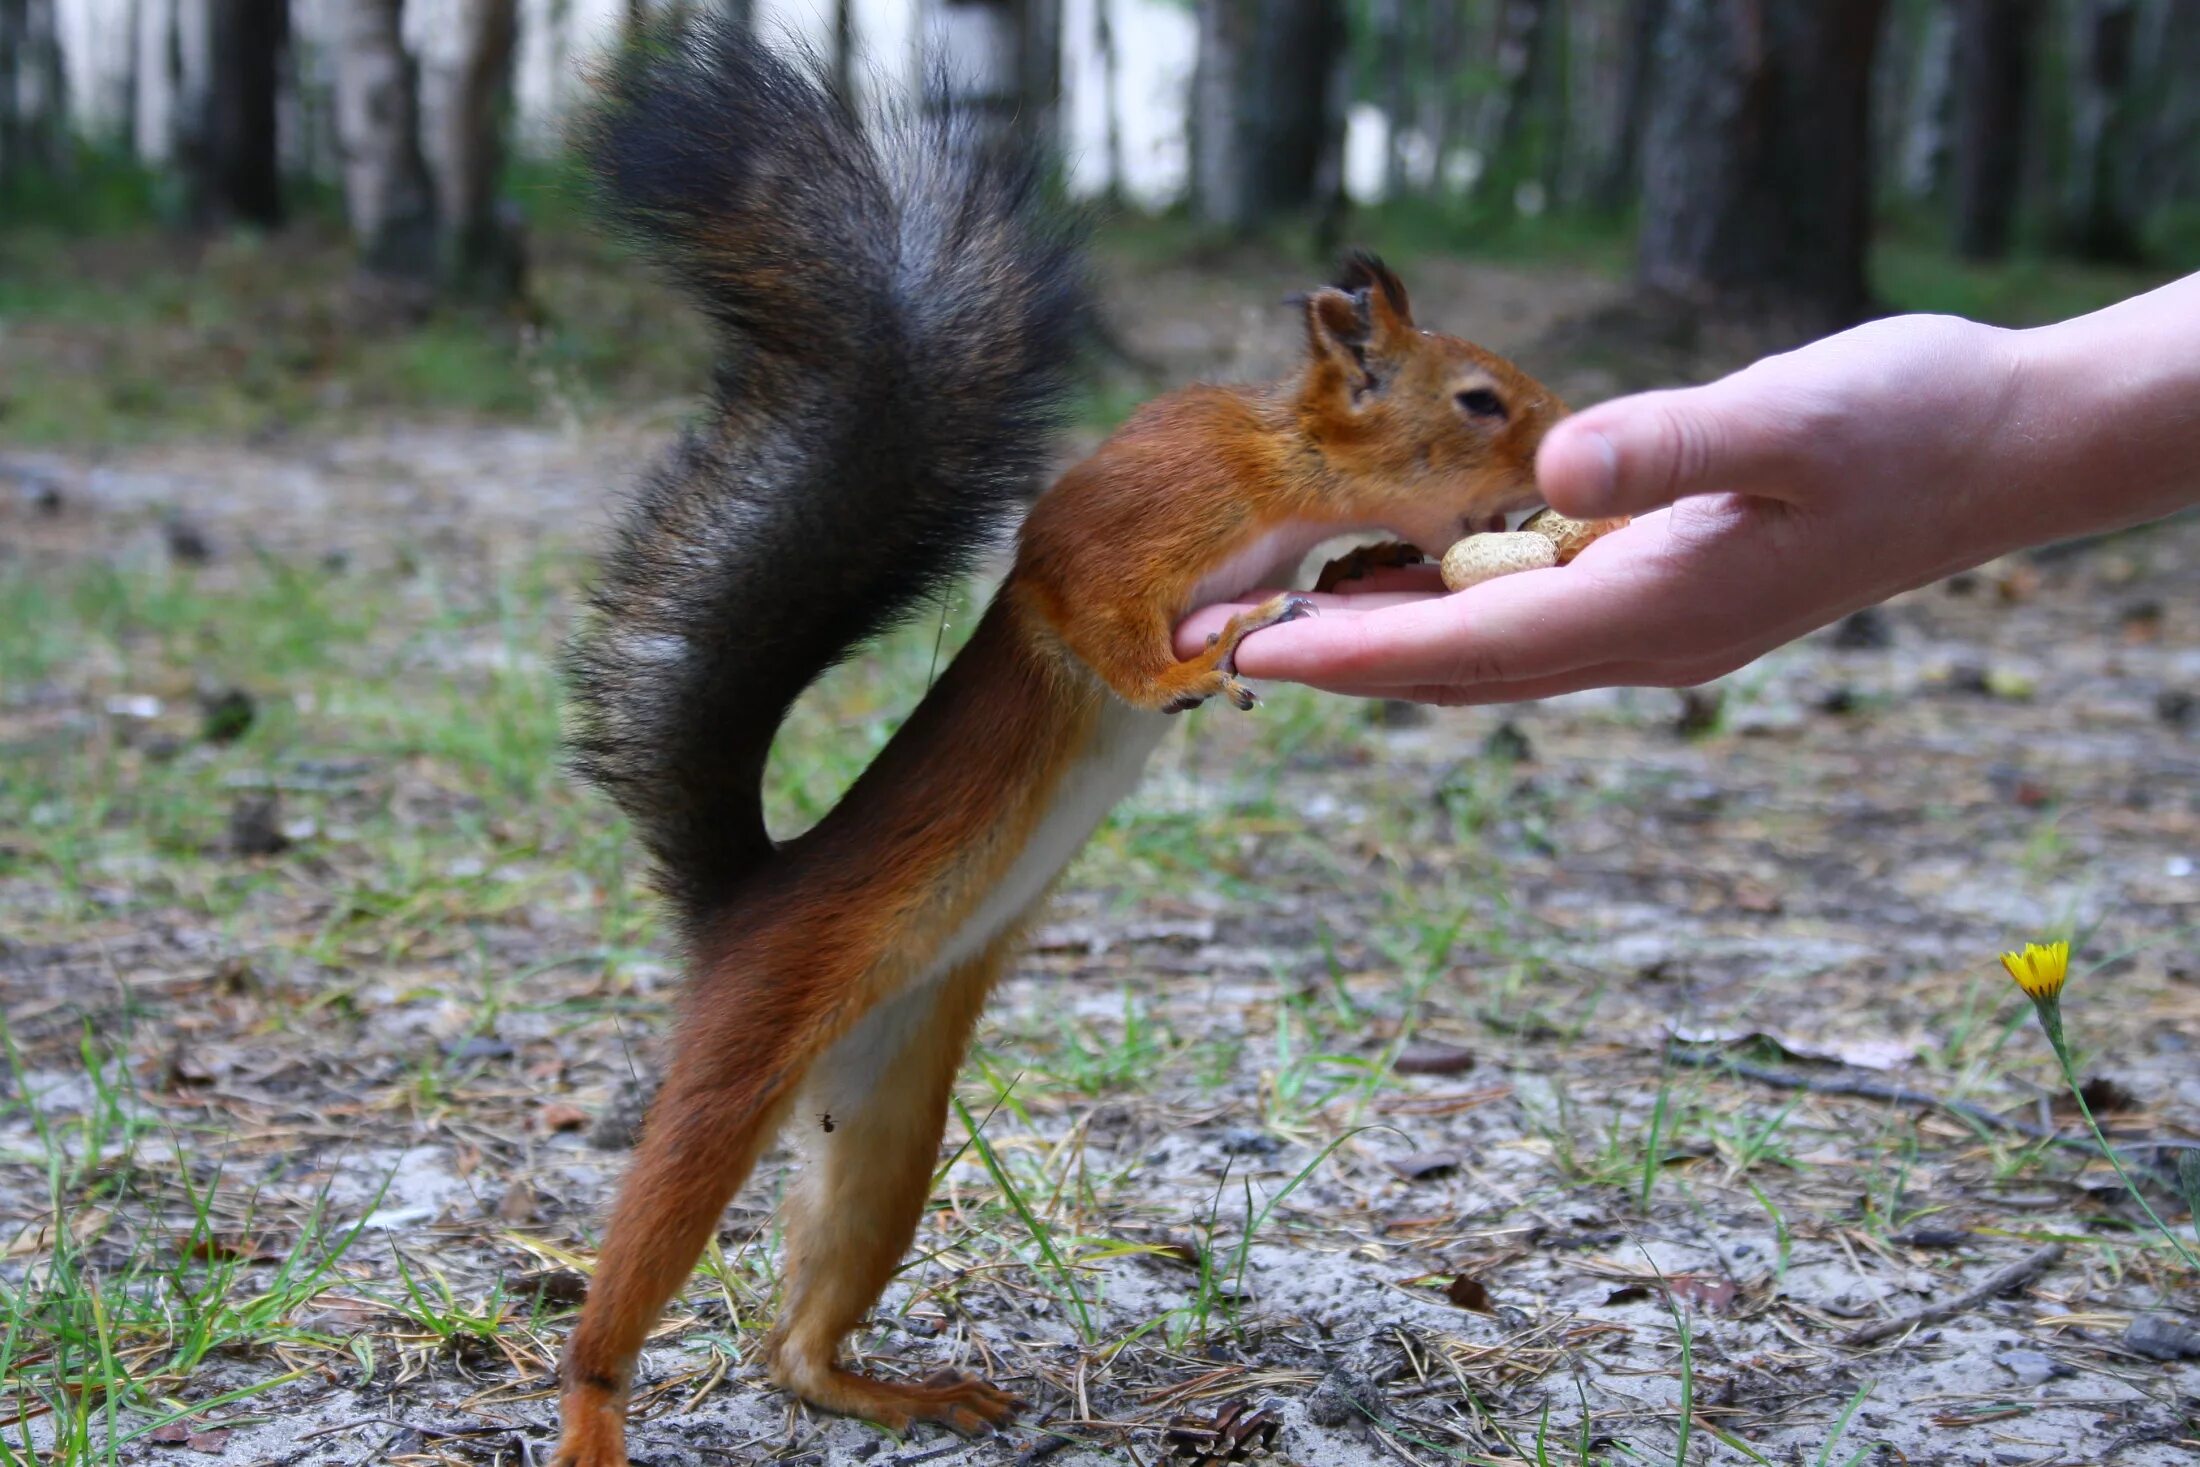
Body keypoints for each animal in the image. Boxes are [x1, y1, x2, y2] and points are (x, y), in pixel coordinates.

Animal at [558, 14, 1575, 1467]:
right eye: (1482, 399)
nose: (1570, 431)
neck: (1290, 473)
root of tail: (743, 897)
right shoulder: (1127, 520)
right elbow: (1094, 612)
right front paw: (1201, 658)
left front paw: (1369, 561)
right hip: (736, 1061)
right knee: (643, 1255)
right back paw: (595, 1403)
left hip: (891, 1123)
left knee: (795, 1342)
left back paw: (892, 1390)